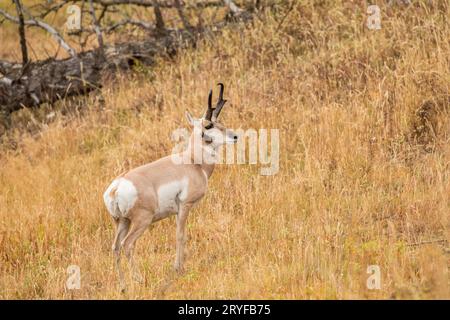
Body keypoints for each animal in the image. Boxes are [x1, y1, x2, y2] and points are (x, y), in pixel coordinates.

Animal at [103, 84, 237, 288]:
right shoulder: (184, 207)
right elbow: (180, 235)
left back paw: (124, 287)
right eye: (208, 125)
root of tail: (116, 187)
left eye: (220, 122)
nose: (235, 136)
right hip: (142, 221)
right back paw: (139, 279)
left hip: (122, 222)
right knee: (128, 244)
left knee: (116, 247)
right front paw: (178, 268)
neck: (193, 162)